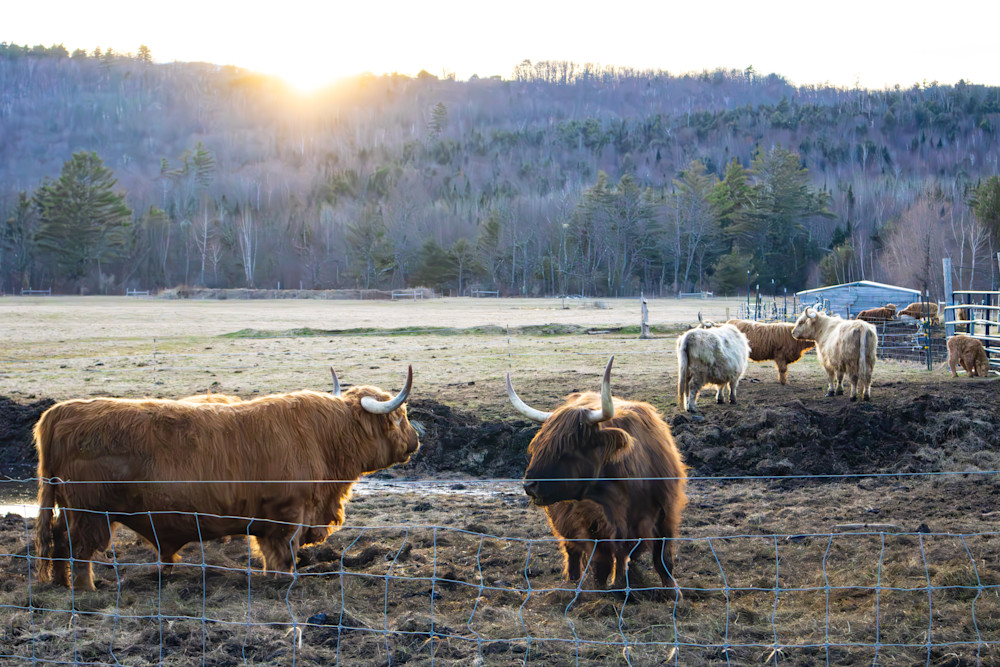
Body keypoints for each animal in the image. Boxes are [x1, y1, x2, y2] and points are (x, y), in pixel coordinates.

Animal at [34, 366, 419, 590]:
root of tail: (59, 412)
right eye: (400, 415)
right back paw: (86, 590)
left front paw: (270, 577)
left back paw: (61, 584)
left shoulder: (268, 518)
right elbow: (285, 550)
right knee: (80, 548)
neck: (324, 439)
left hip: (69, 508)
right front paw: (286, 581)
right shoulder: (290, 512)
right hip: (91, 513)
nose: (416, 440)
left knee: (59, 540)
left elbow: (269, 551)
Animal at [507, 357, 688, 597]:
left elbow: (662, 556)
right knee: (574, 551)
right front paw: (605, 589)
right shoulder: (591, 521)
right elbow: (602, 559)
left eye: (567, 449)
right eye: (538, 446)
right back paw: (574, 580)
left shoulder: (666, 511)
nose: (529, 485)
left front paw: (673, 591)